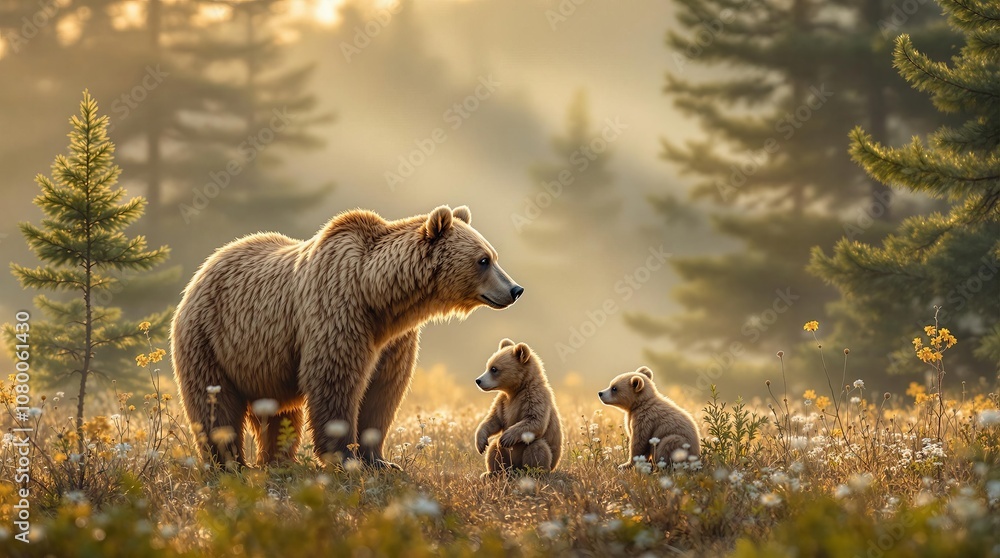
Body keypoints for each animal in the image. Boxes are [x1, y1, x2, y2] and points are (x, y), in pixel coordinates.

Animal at [170, 205, 523, 468]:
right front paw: (344, 458)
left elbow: (383, 392)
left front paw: (380, 460)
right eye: (483, 260)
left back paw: (277, 461)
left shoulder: (393, 341)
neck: (379, 298)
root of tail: (204, 268)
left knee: (279, 413)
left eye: (494, 256)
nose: (515, 289)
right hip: (210, 338)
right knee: (215, 404)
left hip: (261, 362)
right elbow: (335, 380)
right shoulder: (338, 312)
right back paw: (229, 464)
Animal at [474, 339, 563, 476]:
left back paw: (533, 472)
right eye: (487, 366)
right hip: (507, 457)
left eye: (494, 369)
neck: (516, 390)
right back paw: (491, 473)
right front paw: (481, 443)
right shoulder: (503, 401)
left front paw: (506, 437)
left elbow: (535, 420)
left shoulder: (535, 396)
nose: (478, 380)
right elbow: (493, 419)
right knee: (494, 448)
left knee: (537, 447)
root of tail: (516, 469)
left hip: (546, 456)